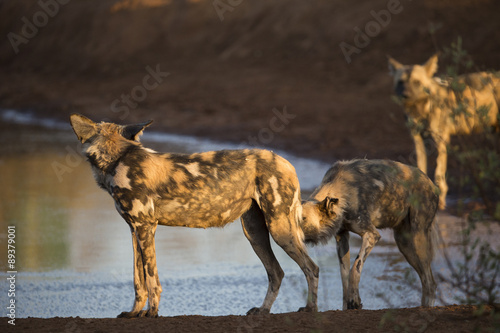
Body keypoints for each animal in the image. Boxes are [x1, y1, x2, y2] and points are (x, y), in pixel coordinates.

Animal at [68, 113, 318, 316]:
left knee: (311, 267)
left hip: (280, 230)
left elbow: (151, 278)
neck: (116, 160)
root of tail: (285, 161)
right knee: (276, 272)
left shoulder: (146, 226)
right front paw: (134, 312)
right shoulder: (134, 229)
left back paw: (310, 309)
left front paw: (151, 313)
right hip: (255, 234)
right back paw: (263, 310)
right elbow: (138, 280)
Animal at [300, 158, 438, 308]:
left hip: (417, 239)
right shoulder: (342, 237)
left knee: (430, 282)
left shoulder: (371, 235)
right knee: (426, 280)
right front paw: (347, 306)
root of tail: (431, 183)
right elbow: (345, 278)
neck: (342, 193)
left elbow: (355, 268)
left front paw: (354, 301)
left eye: (302, 219)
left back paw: (426, 309)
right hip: (405, 245)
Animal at [388, 53, 498, 210]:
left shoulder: (441, 141)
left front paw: (440, 202)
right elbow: (420, 168)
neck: (419, 109)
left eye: (416, 82)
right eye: (400, 82)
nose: (405, 95)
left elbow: (439, 174)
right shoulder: (418, 140)